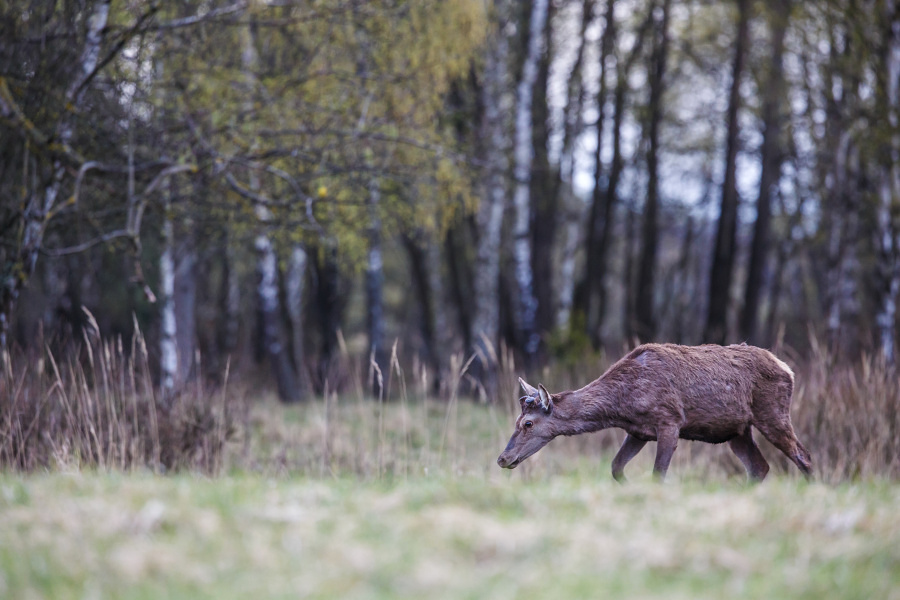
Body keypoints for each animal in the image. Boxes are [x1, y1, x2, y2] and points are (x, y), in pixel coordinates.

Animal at [496, 342, 812, 482]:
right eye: (516, 420)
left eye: (527, 423)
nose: (502, 458)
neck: (622, 405)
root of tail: (788, 369)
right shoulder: (637, 432)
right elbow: (615, 467)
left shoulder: (670, 420)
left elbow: (658, 473)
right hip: (737, 431)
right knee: (760, 467)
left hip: (773, 412)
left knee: (804, 457)